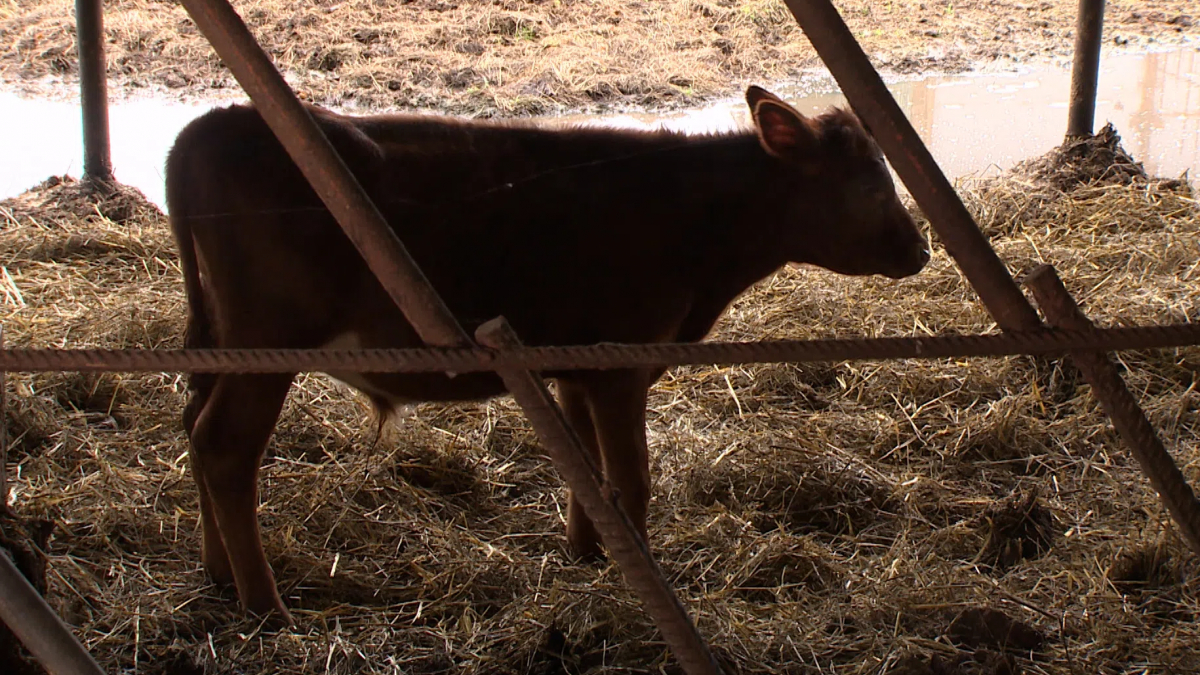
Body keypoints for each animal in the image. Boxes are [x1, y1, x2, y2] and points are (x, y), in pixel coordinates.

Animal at [164, 85, 926, 619]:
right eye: (871, 187)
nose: (919, 250)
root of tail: (215, 122)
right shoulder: (619, 363)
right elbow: (630, 478)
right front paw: (638, 579)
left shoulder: (573, 369)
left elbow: (587, 471)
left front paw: (588, 557)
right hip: (271, 337)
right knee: (225, 446)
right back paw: (266, 605)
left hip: (221, 339)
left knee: (194, 429)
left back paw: (217, 572)